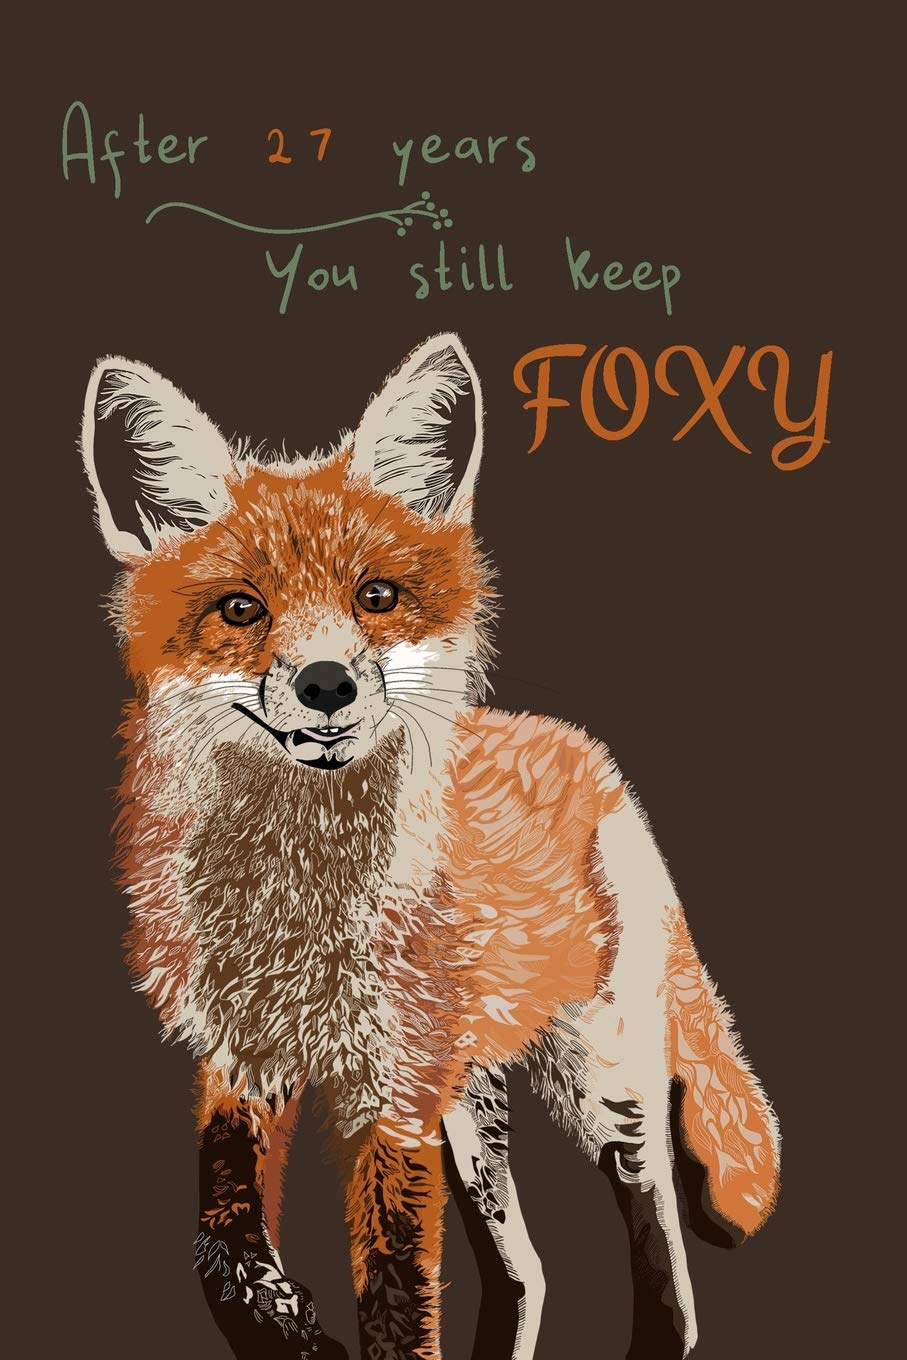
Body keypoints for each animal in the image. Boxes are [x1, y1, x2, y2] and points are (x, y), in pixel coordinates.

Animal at [81, 334, 779, 1360]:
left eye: (377, 597)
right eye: (241, 609)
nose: (326, 684)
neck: (299, 905)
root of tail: (589, 753)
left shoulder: (393, 1088)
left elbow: (396, 1293)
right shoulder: (243, 1056)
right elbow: (219, 1244)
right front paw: (285, 1323)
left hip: (594, 1076)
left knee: (652, 1205)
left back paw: (662, 1328)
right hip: (469, 1108)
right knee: (528, 1269)